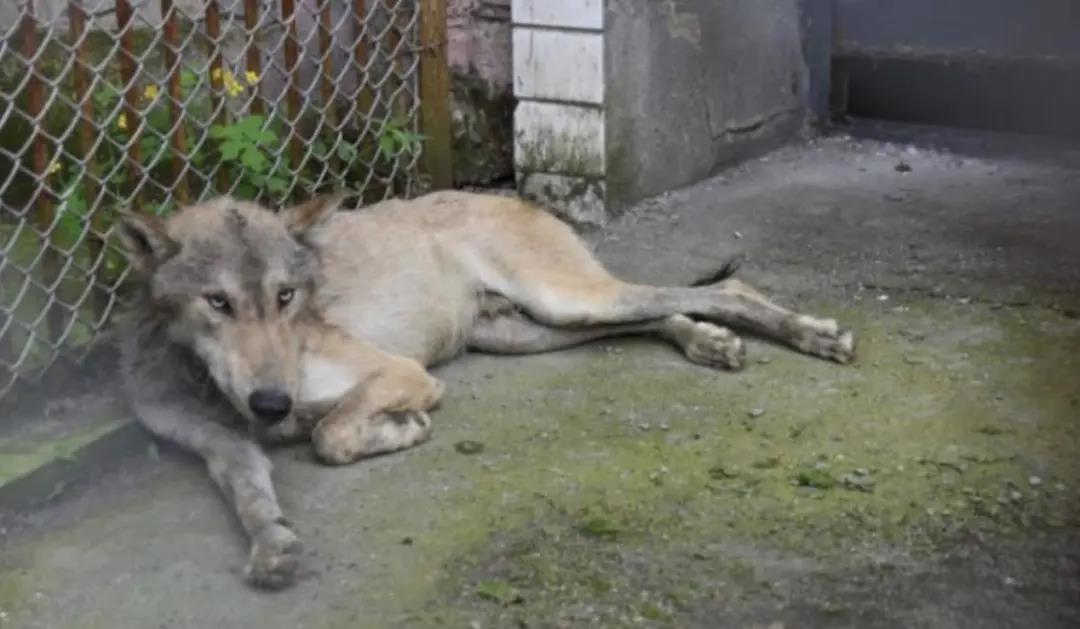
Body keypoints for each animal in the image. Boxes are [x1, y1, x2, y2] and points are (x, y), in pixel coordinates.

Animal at [118, 192, 855, 592]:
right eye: (218, 302)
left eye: (286, 296)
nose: (270, 404)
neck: (207, 380)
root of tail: (505, 195)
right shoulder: (220, 445)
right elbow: (251, 491)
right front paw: (273, 543)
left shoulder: (406, 373)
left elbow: (331, 433)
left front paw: (400, 429)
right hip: (535, 330)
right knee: (654, 315)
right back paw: (706, 341)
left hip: (563, 301)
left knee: (722, 288)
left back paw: (811, 334)